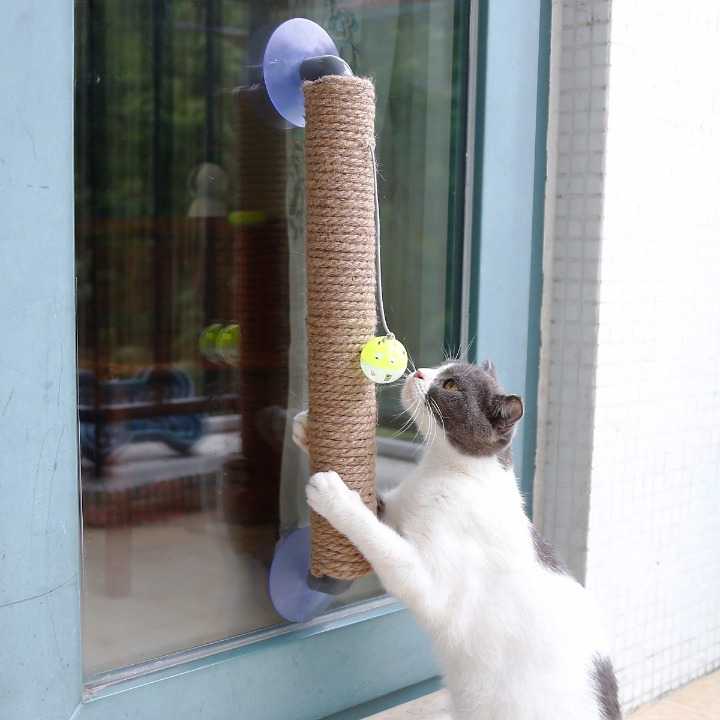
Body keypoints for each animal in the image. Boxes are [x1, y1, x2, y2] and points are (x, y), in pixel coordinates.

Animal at [292, 362, 620, 720]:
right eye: (440, 368)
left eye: (450, 385)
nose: (420, 372)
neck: (444, 472)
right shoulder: (399, 511)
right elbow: (381, 513)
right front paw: (308, 431)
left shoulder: (431, 583)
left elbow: (381, 542)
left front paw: (335, 496)